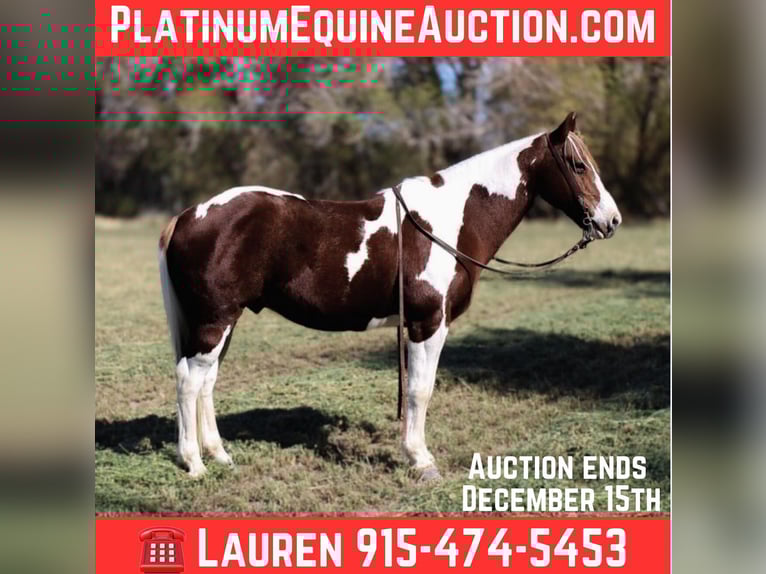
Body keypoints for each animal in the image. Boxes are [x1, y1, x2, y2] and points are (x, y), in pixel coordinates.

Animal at [158, 112, 622, 479]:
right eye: (578, 165)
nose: (612, 220)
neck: (447, 221)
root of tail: (188, 215)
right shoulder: (427, 323)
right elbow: (420, 390)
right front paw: (420, 460)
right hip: (214, 321)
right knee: (188, 381)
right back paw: (194, 463)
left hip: (222, 322)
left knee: (205, 382)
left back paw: (219, 455)